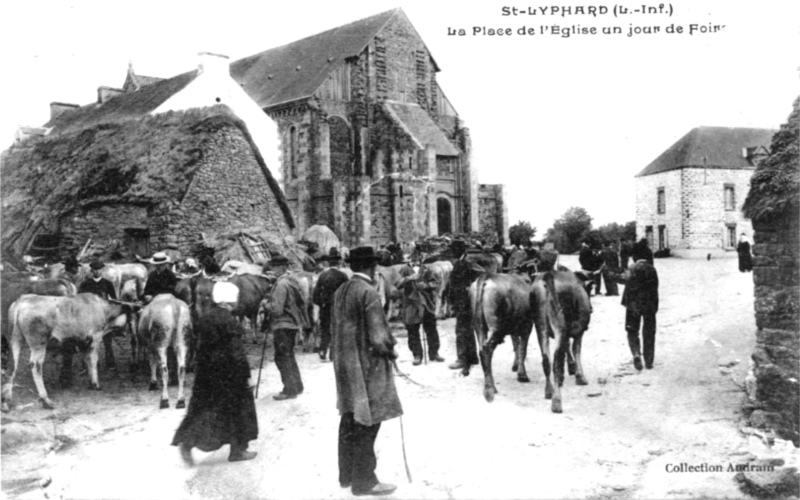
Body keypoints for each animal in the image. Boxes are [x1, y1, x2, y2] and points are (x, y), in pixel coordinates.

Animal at [466, 272, 536, 404]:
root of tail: (486, 276)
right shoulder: (527, 326)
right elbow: (522, 349)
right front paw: (522, 375)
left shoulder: (515, 327)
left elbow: (516, 345)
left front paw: (515, 366)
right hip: (496, 327)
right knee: (487, 349)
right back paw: (490, 389)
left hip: (478, 326)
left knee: (482, 350)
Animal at [532, 270, 592, 414]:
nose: (591, 308)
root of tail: (548, 275)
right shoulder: (578, 330)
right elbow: (576, 350)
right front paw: (580, 376)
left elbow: (567, 347)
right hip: (559, 326)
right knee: (556, 362)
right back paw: (556, 402)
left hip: (540, 327)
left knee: (546, 360)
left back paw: (549, 391)